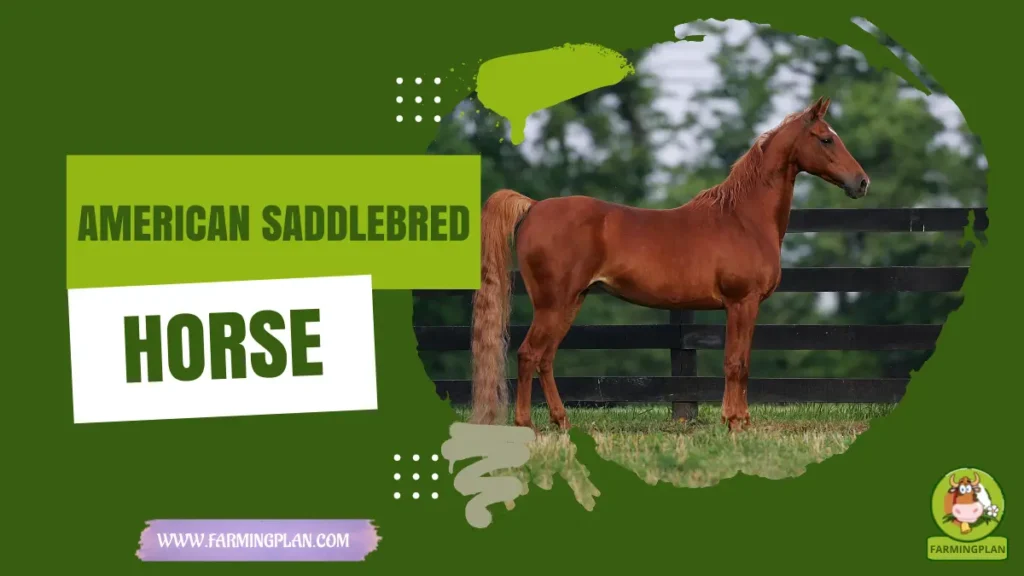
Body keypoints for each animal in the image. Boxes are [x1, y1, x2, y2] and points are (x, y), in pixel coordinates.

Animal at [468, 97, 870, 432]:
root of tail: (534, 206)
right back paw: (525, 424)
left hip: (570, 302)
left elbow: (741, 361)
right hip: (554, 305)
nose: (862, 182)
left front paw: (740, 419)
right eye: (826, 139)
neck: (742, 218)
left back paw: (561, 420)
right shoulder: (742, 302)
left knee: (545, 358)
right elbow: (735, 362)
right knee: (528, 354)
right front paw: (734, 422)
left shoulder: (743, 306)